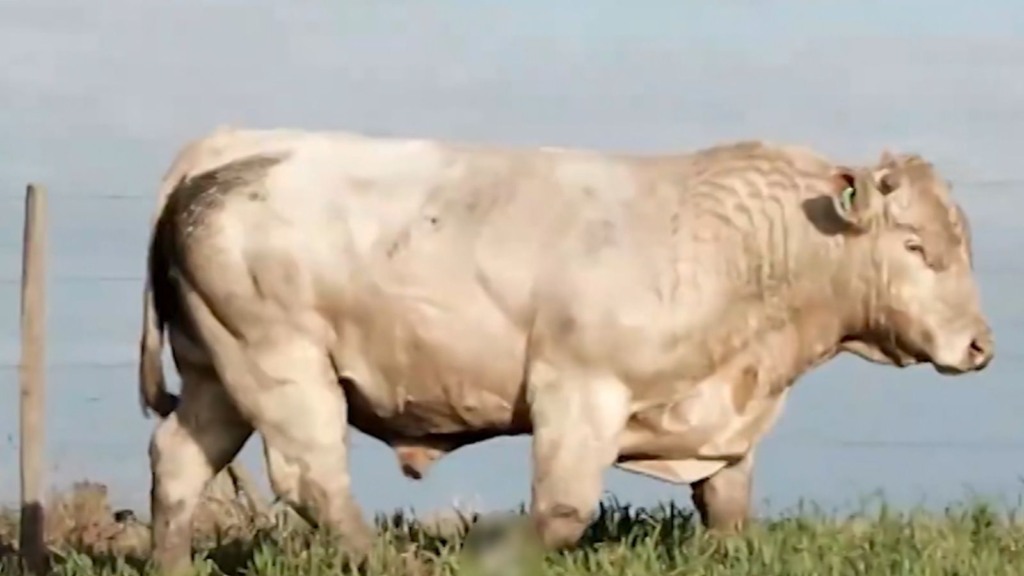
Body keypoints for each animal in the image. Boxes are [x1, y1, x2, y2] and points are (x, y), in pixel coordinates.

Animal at [136, 126, 991, 569]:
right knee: (313, 477)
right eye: (915, 246)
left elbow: (727, 505)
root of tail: (235, 149)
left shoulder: (721, 415)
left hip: (218, 372)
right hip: (282, 363)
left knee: (179, 461)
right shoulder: (579, 389)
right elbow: (563, 510)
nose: (981, 345)